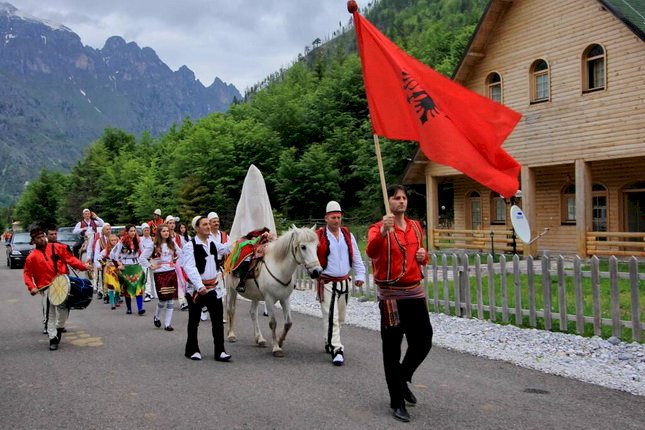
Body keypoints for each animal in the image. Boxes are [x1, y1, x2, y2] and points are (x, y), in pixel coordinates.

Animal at [226, 225, 322, 356]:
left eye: (316, 246)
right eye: (303, 247)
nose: (317, 271)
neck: (279, 267)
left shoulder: (285, 299)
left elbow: (288, 323)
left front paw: (280, 341)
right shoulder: (269, 299)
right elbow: (273, 323)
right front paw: (276, 348)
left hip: (255, 295)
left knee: (253, 313)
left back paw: (259, 339)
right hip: (231, 289)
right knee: (231, 309)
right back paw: (231, 335)